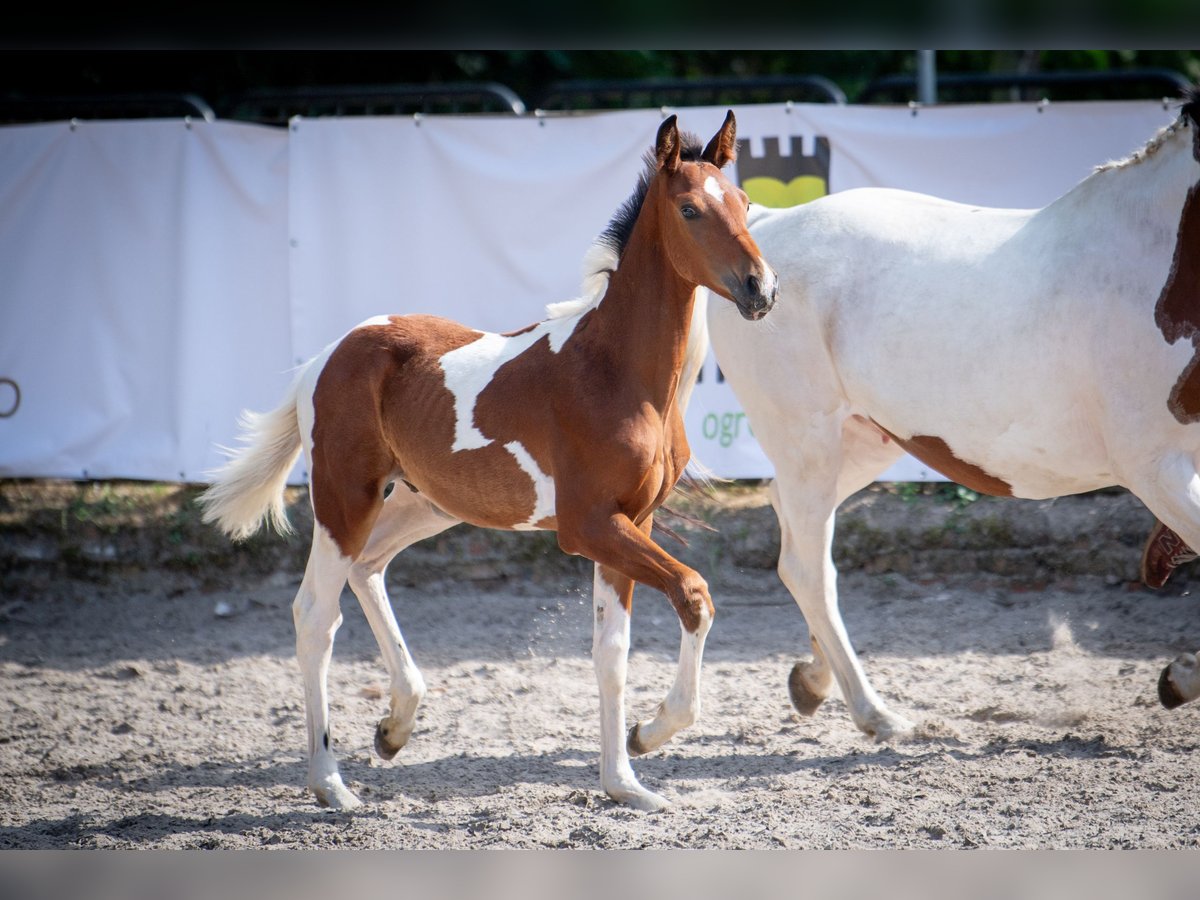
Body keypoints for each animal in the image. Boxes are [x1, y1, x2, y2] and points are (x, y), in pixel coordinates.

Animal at [198, 112, 778, 812]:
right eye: (690, 208)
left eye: (743, 202)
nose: (761, 288)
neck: (616, 372)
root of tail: (326, 356)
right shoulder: (589, 526)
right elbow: (694, 593)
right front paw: (651, 732)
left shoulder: (629, 524)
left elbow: (611, 652)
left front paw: (625, 782)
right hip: (345, 499)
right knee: (315, 614)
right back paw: (331, 784)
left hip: (426, 503)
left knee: (369, 569)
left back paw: (394, 728)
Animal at [704, 88, 1200, 743]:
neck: (1163, 267)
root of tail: (760, 230)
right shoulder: (1156, 467)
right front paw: (1179, 678)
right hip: (807, 440)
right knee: (806, 566)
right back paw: (876, 714)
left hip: (862, 444)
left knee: (796, 535)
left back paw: (813, 681)